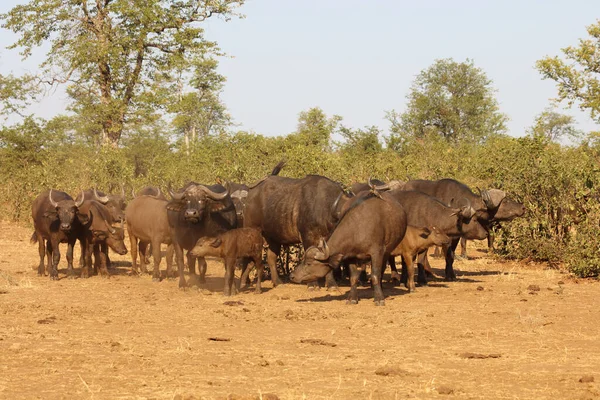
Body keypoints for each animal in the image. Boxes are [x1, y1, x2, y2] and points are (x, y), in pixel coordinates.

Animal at [245, 162, 356, 290]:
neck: (326, 208)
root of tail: (250, 193)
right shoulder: (307, 236)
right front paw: (312, 285)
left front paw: (332, 284)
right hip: (251, 231)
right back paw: (245, 282)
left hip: (274, 237)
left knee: (271, 257)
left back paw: (277, 282)